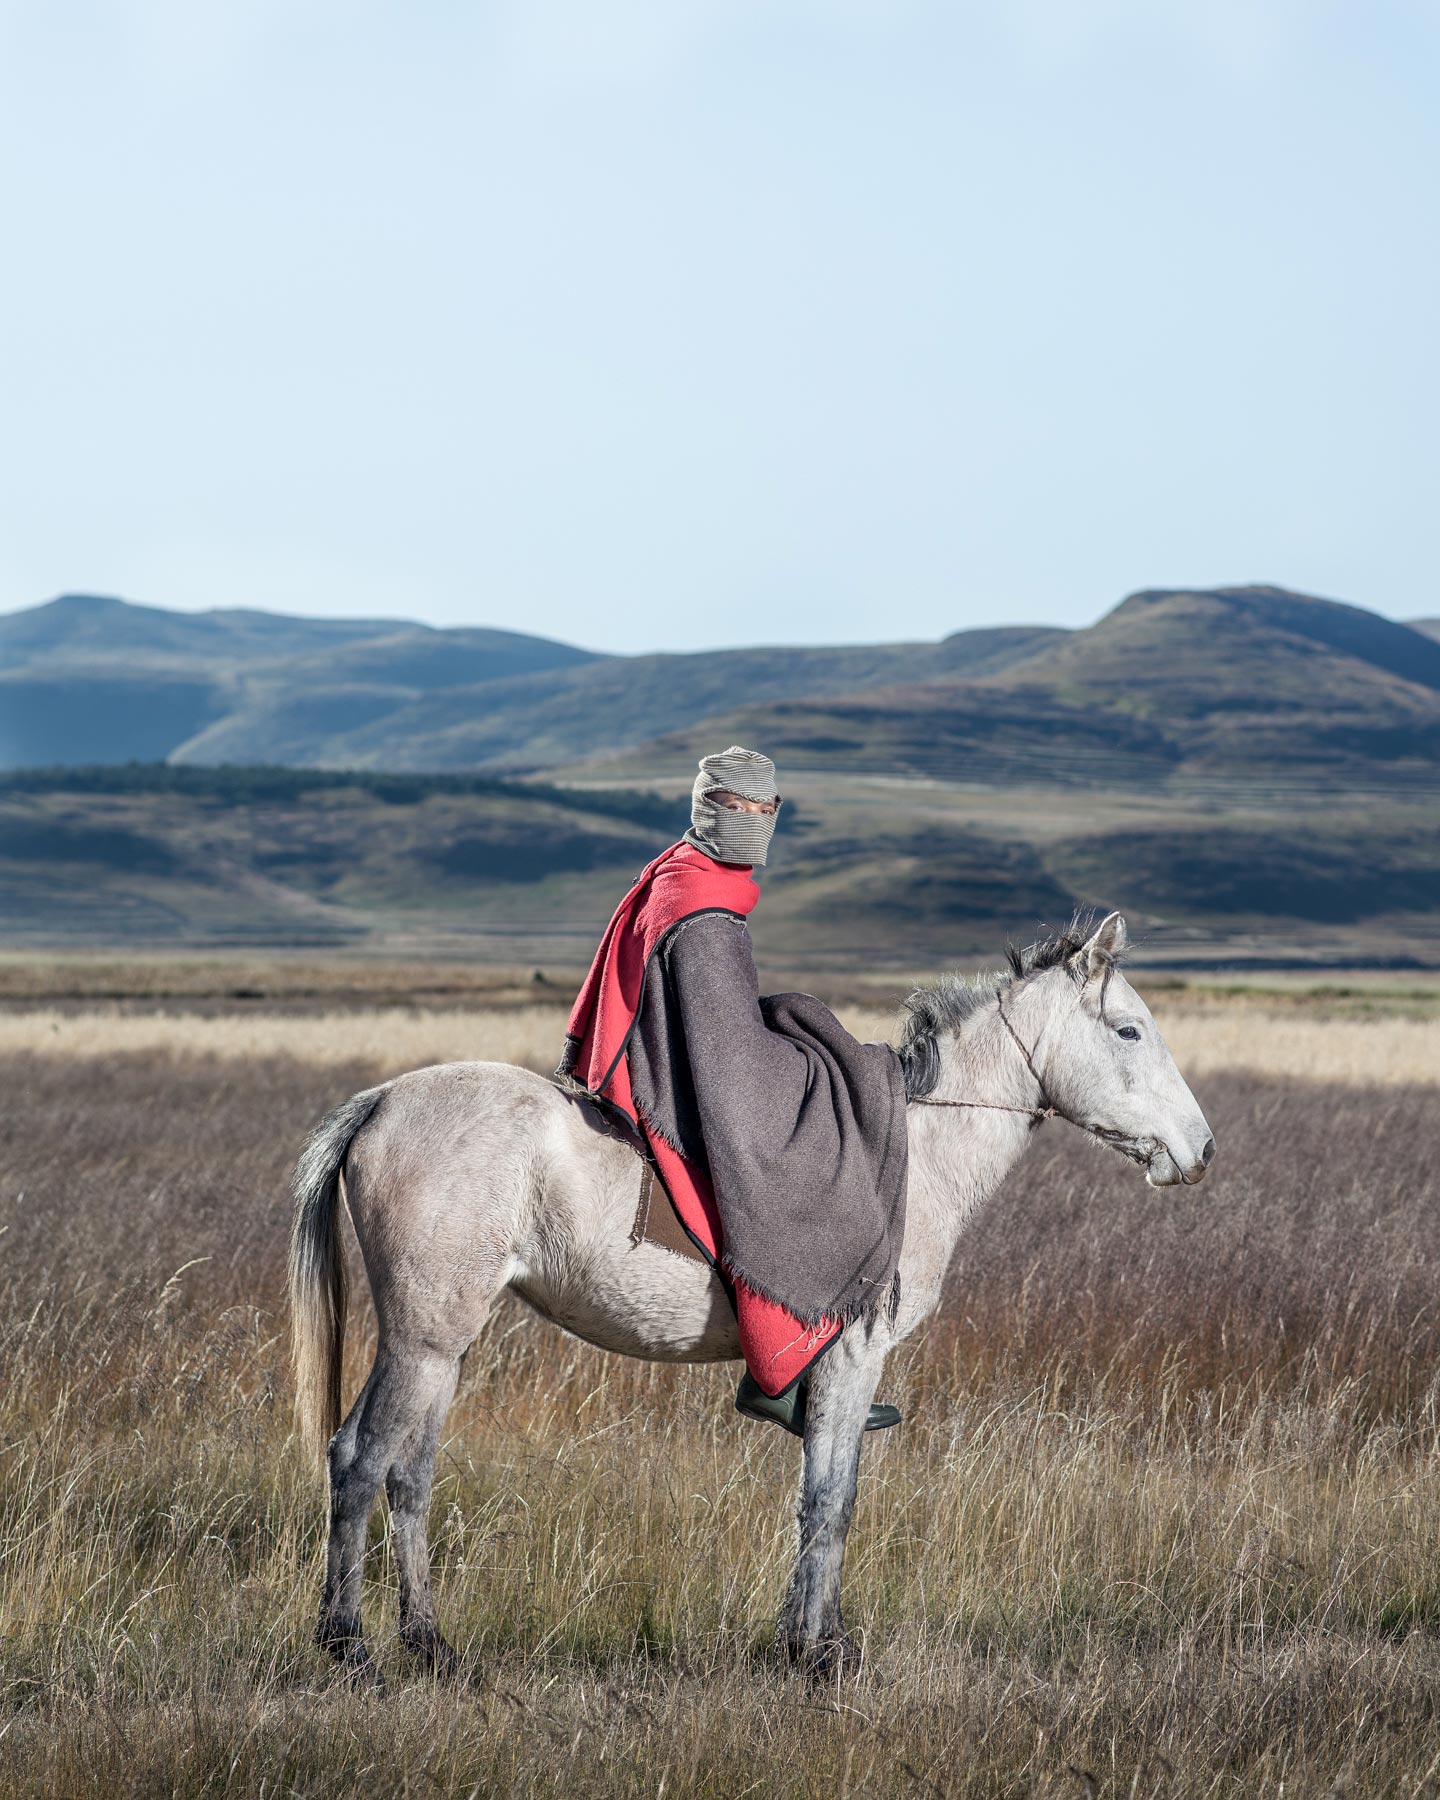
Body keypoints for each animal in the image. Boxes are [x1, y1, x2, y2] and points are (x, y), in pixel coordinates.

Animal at [286, 914, 1209, 1684]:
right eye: (1128, 1029)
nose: (1198, 1150)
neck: (919, 1150)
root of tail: (382, 1102)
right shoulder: (851, 1356)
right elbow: (831, 1500)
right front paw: (820, 1652)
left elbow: (819, 1494)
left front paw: (801, 1640)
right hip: (423, 1343)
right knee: (363, 1460)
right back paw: (350, 1649)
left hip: (441, 1347)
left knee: (403, 1474)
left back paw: (432, 1647)